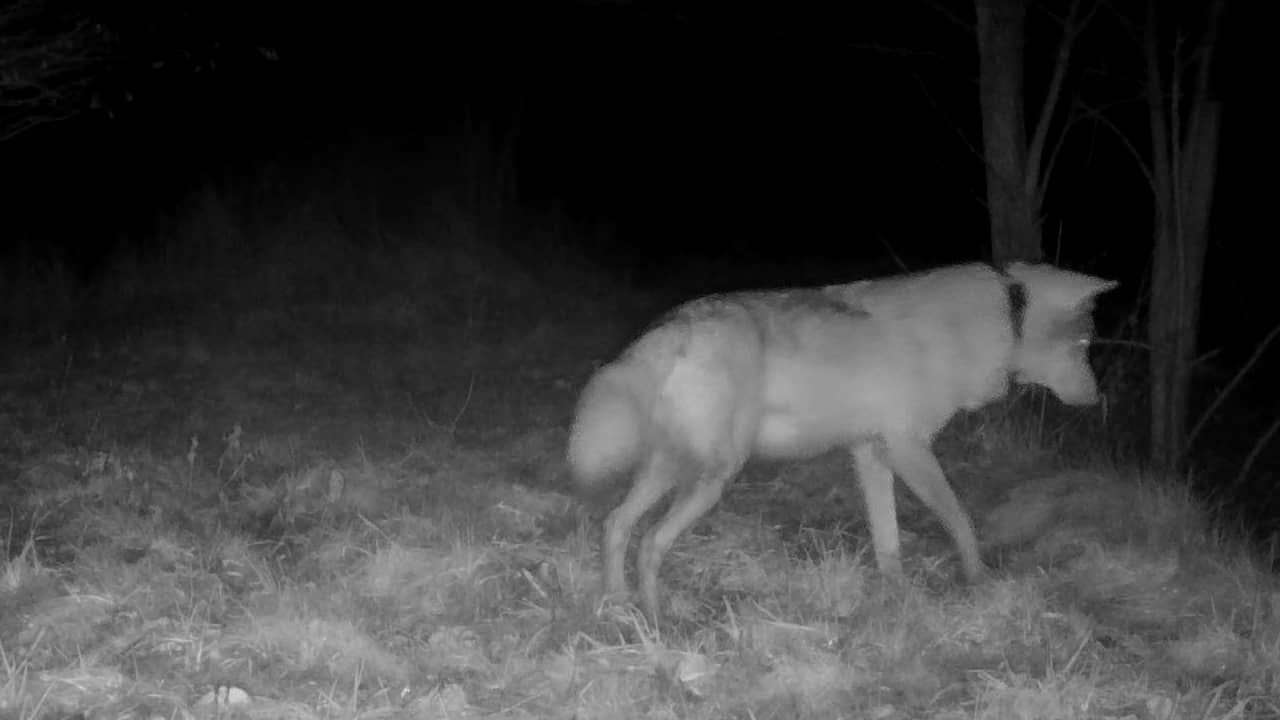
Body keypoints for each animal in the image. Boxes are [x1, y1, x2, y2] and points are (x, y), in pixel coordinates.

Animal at [568, 262, 1116, 620]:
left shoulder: (871, 453)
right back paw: (658, 621)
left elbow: (888, 540)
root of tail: (675, 327)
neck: (998, 320)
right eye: (1085, 344)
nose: (1098, 398)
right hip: (711, 479)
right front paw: (978, 580)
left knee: (617, 525)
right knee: (650, 542)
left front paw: (897, 596)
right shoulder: (907, 449)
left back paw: (617, 605)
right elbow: (960, 521)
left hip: (671, 470)